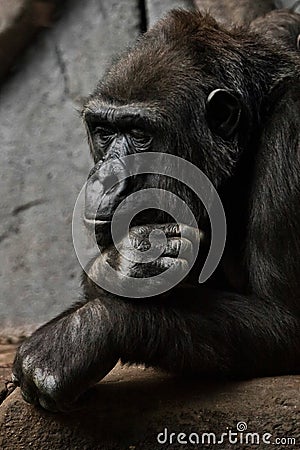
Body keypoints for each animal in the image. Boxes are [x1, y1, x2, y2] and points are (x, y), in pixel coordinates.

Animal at [12, 5, 300, 412]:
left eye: (139, 134)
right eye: (104, 132)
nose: (104, 177)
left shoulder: (291, 131)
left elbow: (284, 322)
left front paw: (81, 335)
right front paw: (124, 264)